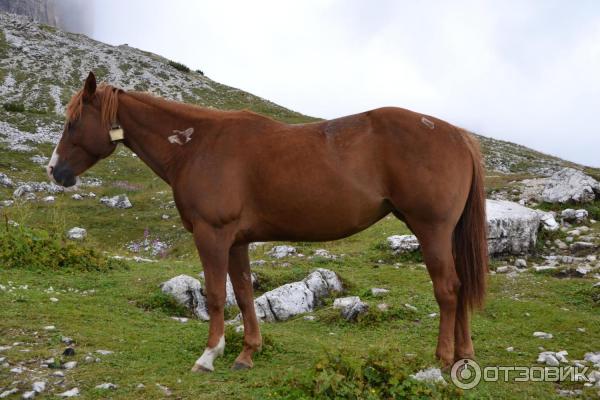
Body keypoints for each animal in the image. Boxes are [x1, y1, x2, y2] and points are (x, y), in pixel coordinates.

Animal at [47, 72, 488, 372]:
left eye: (73, 122)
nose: (55, 171)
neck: (196, 145)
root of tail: (458, 135)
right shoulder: (237, 241)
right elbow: (243, 294)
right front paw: (246, 353)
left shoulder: (212, 236)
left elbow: (215, 295)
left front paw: (209, 355)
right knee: (462, 285)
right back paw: (464, 357)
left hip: (431, 230)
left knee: (448, 290)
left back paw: (442, 359)